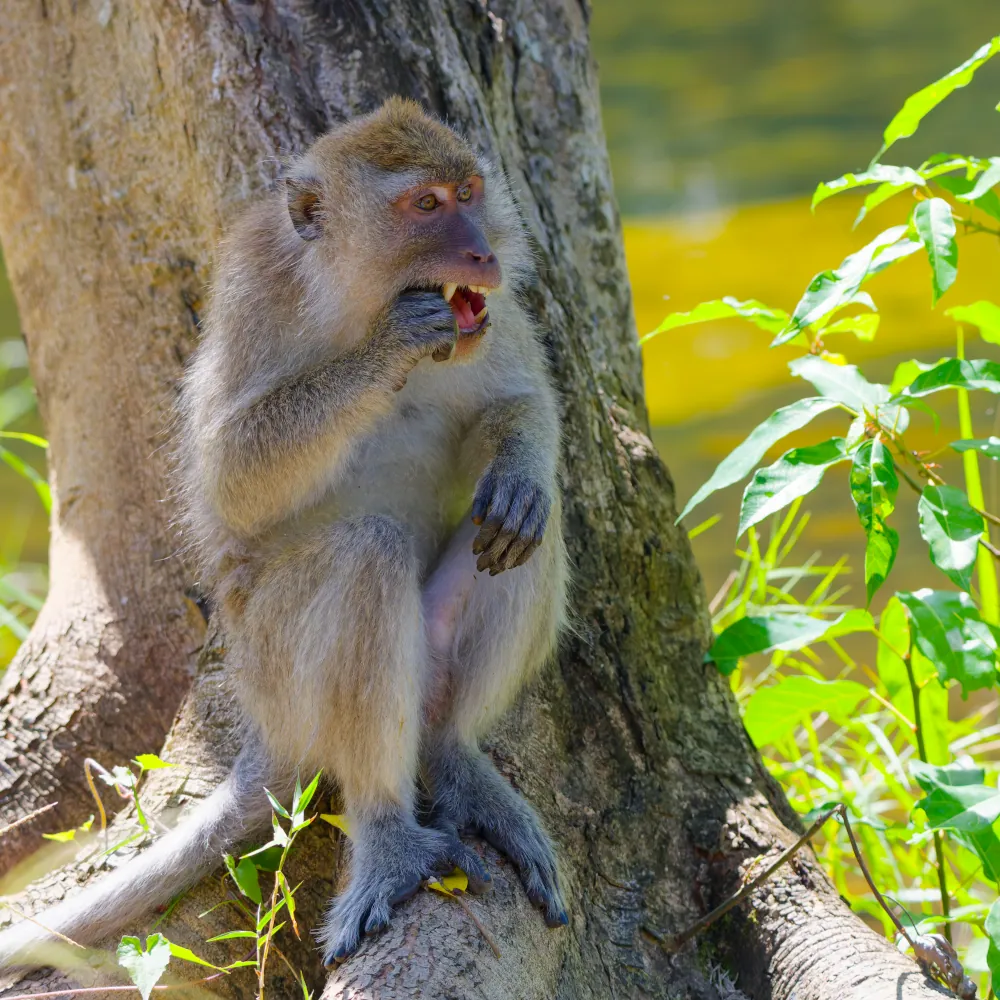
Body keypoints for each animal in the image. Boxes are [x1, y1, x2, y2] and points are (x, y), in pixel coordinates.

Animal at [0, 97, 568, 973]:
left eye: (470, 191)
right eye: (426, 205)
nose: (481, 249)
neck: (353, 295)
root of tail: (265, 725)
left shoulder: (493, 319)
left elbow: (518, 405)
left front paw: (518, 468)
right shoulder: (254, 294)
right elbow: (232, 475)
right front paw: (385, 351)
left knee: (520, 532)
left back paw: (452, 750)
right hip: (276, 667)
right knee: (367, 553)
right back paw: (388, 836)